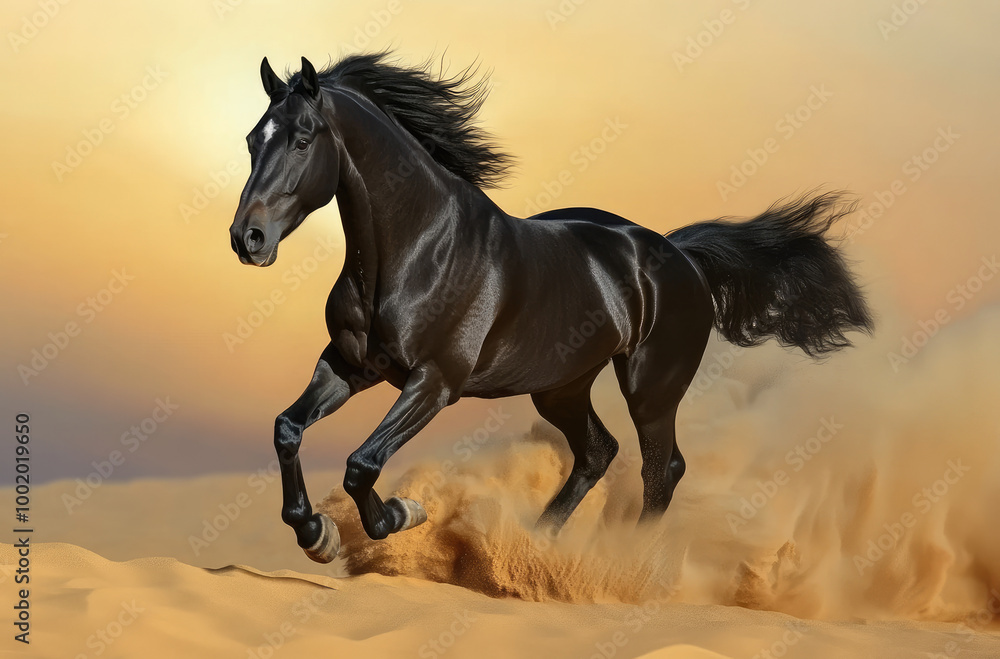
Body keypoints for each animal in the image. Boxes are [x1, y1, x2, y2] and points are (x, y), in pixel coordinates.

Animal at [228, 53, 873, 564]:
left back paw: (621, 565)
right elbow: (288, 429)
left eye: (303, 139)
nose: (247, 239)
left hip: (651, 389)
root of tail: (681, 256)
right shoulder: (349, 365)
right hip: (562, 386)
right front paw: (315, 534)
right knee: (597, 452)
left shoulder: (434, 382)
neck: (415, 248)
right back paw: (532, 548)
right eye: (253, 139)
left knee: (659, 470)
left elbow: (362, 464)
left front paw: (400, 515)